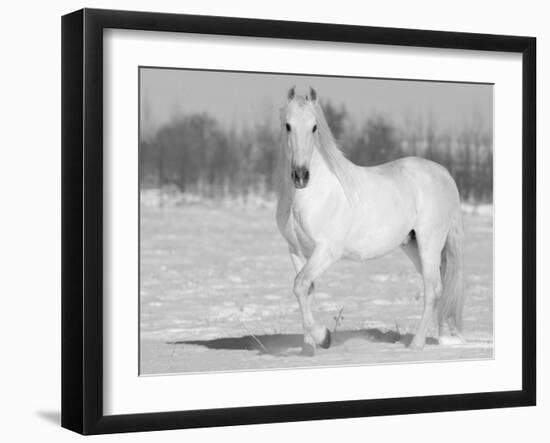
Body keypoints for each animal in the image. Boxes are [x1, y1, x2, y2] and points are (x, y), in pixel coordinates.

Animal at [276, 87, 466, 358]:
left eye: (314, 127)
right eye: (287, 125)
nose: (300, 175)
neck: (311, 194)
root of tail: (445, 174)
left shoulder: (327, 251)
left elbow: (300, 285)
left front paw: (324, 338)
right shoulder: (297, 251)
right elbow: (306, 291)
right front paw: (308, 350)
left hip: (430, 243)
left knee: (432, 289)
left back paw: (416, 345)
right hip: (412, 245)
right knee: (438, 286)